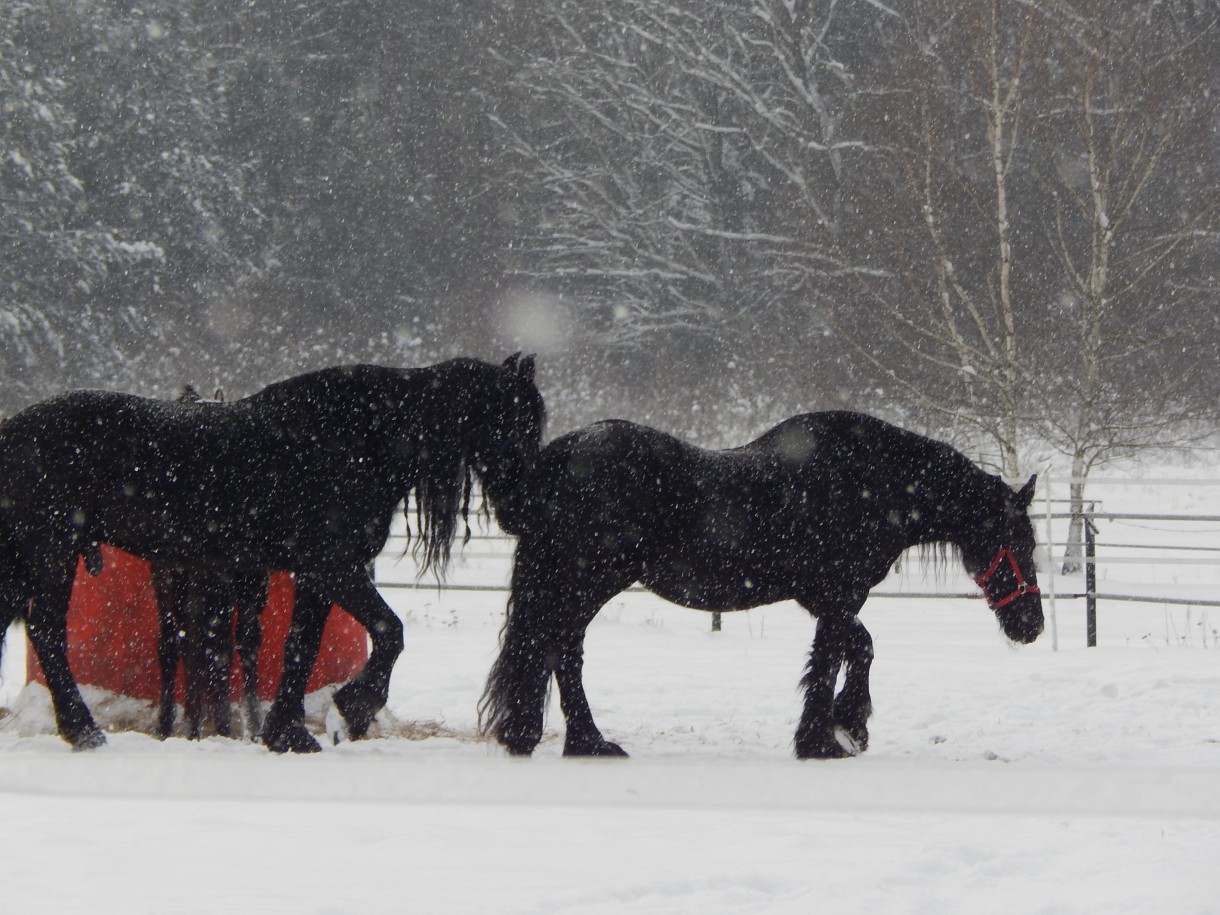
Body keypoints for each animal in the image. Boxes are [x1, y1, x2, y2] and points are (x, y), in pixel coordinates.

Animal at [0, 353, 544, 751]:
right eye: (513, 424)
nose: (526, 509)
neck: (354, 437)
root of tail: (14, 431)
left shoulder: (315, 577)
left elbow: (301, 648)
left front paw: (288, 732)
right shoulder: (333, 567)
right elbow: (390, 632)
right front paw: (352, 709)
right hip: (52, 552)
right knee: (48, 632)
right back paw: (83, 730)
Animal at [480, 414, 1044, 761]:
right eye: (1017, 540)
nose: (1032, 627)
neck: (873, 483)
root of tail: (563, 455)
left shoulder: (824, 600)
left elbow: (851, 650)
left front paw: (842, 728)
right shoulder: (837, 597)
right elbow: (840, 655)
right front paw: (831, 736)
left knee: (552, 650)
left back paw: (558, 738)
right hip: (586, 583)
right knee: (558, 651)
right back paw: (583, 741)